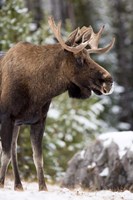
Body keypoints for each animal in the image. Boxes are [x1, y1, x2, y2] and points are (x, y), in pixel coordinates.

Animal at [0, 16, 115, 191]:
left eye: (90, 57)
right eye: (80, 59)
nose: (109, 80)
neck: (38, 92)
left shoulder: (38, 120)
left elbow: (37, 157)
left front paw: (43, 187)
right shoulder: (7, 117)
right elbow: (5, 155)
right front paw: (0, 184)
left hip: (17, 124)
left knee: (13, 149)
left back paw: (18, 185)